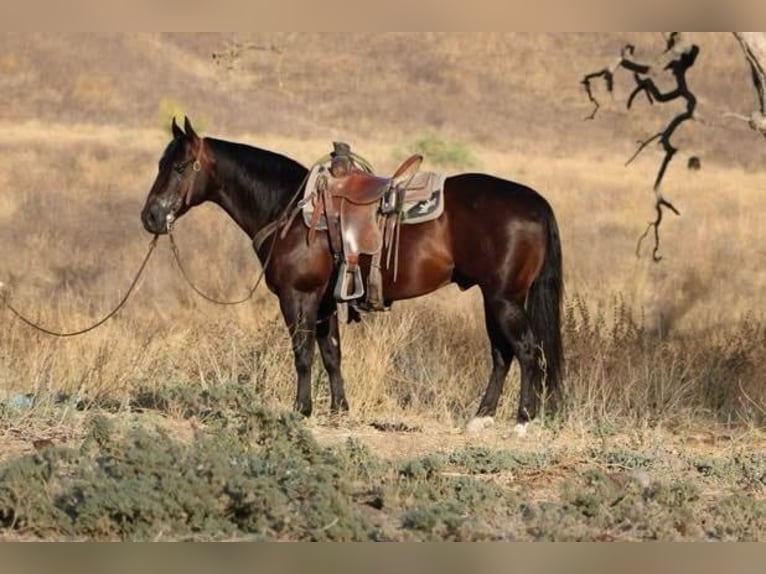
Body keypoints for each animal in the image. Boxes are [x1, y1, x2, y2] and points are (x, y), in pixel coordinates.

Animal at [142, 119, 564, 434]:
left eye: (179, 167)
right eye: (160, 165)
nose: (151, 216)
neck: (289, 211)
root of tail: (536, 203)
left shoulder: (299, 297)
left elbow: (303, 353)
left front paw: (302, 410)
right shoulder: (326, 303)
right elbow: (331, 354)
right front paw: (339, 410)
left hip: (504, 299)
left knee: (526, 350)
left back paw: (522, 420)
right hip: (494, 298)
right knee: (501, 354)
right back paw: (482, 417)